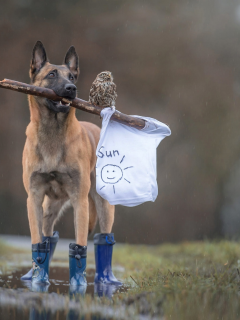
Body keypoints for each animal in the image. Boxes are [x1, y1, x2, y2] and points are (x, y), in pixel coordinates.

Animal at [22, 42, 114, 248]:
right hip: (50, 207)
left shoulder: (80, 200)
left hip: (103, 206)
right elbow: (37, 241)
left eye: (71, 77)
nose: (71, 88)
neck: (53, 131)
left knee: (105, 237)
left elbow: (80, 242)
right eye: (51, 75)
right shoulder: (34, 197)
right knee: (48, 234)